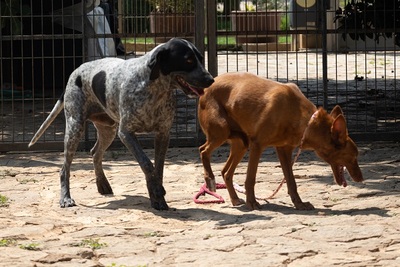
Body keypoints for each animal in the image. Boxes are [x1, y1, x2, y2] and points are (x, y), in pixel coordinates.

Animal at [28, 37, 214, 210]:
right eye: (188, 60)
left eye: (200, 58)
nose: (211, 79)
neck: (154, 88)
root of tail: (76, 72)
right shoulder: (126, 133)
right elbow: (147, 164)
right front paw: (156, 191)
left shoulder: (163, 134)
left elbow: (158, 168)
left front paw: (157, 197)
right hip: (75, 128)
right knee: (64, 169)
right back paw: (66, 198)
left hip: (108, 130)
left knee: (95, 152)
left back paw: (102, 184)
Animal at [198, 73, 364, 211]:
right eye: (353, 157)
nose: (361, 179)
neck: (305, 121)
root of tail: (207, 86)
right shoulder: (257, 145)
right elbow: (250, 178)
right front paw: (252, 202)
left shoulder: (284, 149)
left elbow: (291, 181)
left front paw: (299, 204)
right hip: (221, 132)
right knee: (203, 150)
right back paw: (209, 178)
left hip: (241, 144)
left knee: (226, 172)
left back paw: (234, 199)